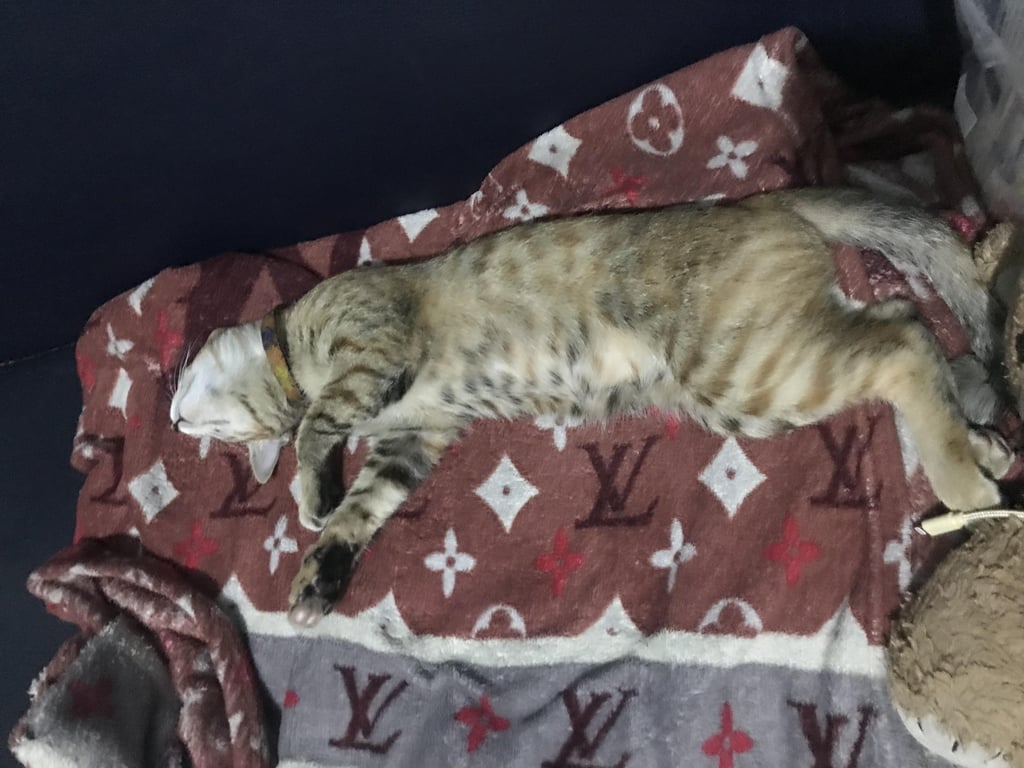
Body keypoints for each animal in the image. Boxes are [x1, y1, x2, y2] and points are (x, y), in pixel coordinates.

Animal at [169, 187, 1012, 628]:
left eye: (186, 392)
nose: (173, 419)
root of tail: (764, 198)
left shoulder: (373, 343)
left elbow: (318, 429)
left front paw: (307, 492)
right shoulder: (415, 437)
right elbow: (364, 508)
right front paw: (319, 575)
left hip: (745, 370)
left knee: (903, 337)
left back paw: (964, 483)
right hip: (764, 377)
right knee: (900, 329)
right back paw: (984, 450)